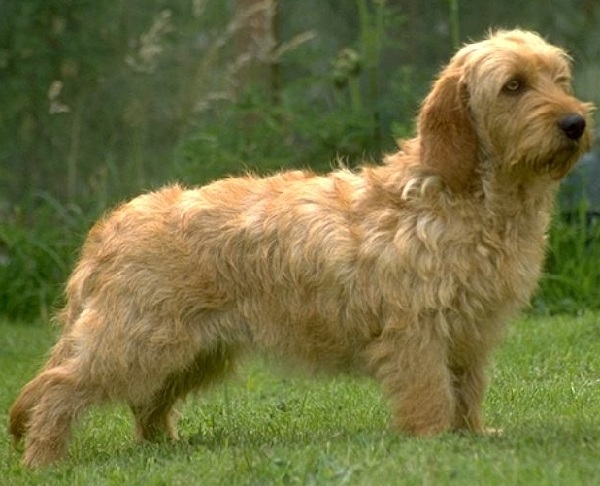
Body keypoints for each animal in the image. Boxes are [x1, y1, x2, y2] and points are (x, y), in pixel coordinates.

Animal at [9, 29, 596, 468]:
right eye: (513, 86)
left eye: (559, 78)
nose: (575, 123)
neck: (458, 195)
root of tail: (110, 226)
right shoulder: (417, 333)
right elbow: (431, 396)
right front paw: (436, 444)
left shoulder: (471, 332)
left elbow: (467, 391)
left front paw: (473, 434)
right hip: (133, 342)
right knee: (58, 387)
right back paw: (42, 459)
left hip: (192, 352)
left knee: (146, 405)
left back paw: (167, 448)